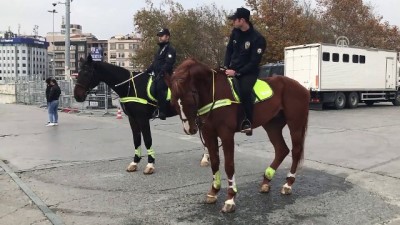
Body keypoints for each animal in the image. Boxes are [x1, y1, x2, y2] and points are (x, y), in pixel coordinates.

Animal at [169, 58, 310, 213]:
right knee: (281, 150)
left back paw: (288, 184)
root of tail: (301, 87)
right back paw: (266, 180)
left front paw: (230, 199)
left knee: (295, 151)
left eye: (190, 97)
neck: (213, 92)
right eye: (173, 102)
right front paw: (213, 192)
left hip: (295, 124)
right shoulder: (208, 134)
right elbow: (214, 162)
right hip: (272, 126)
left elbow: (229, 165)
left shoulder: (226, 134)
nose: (189, 129)